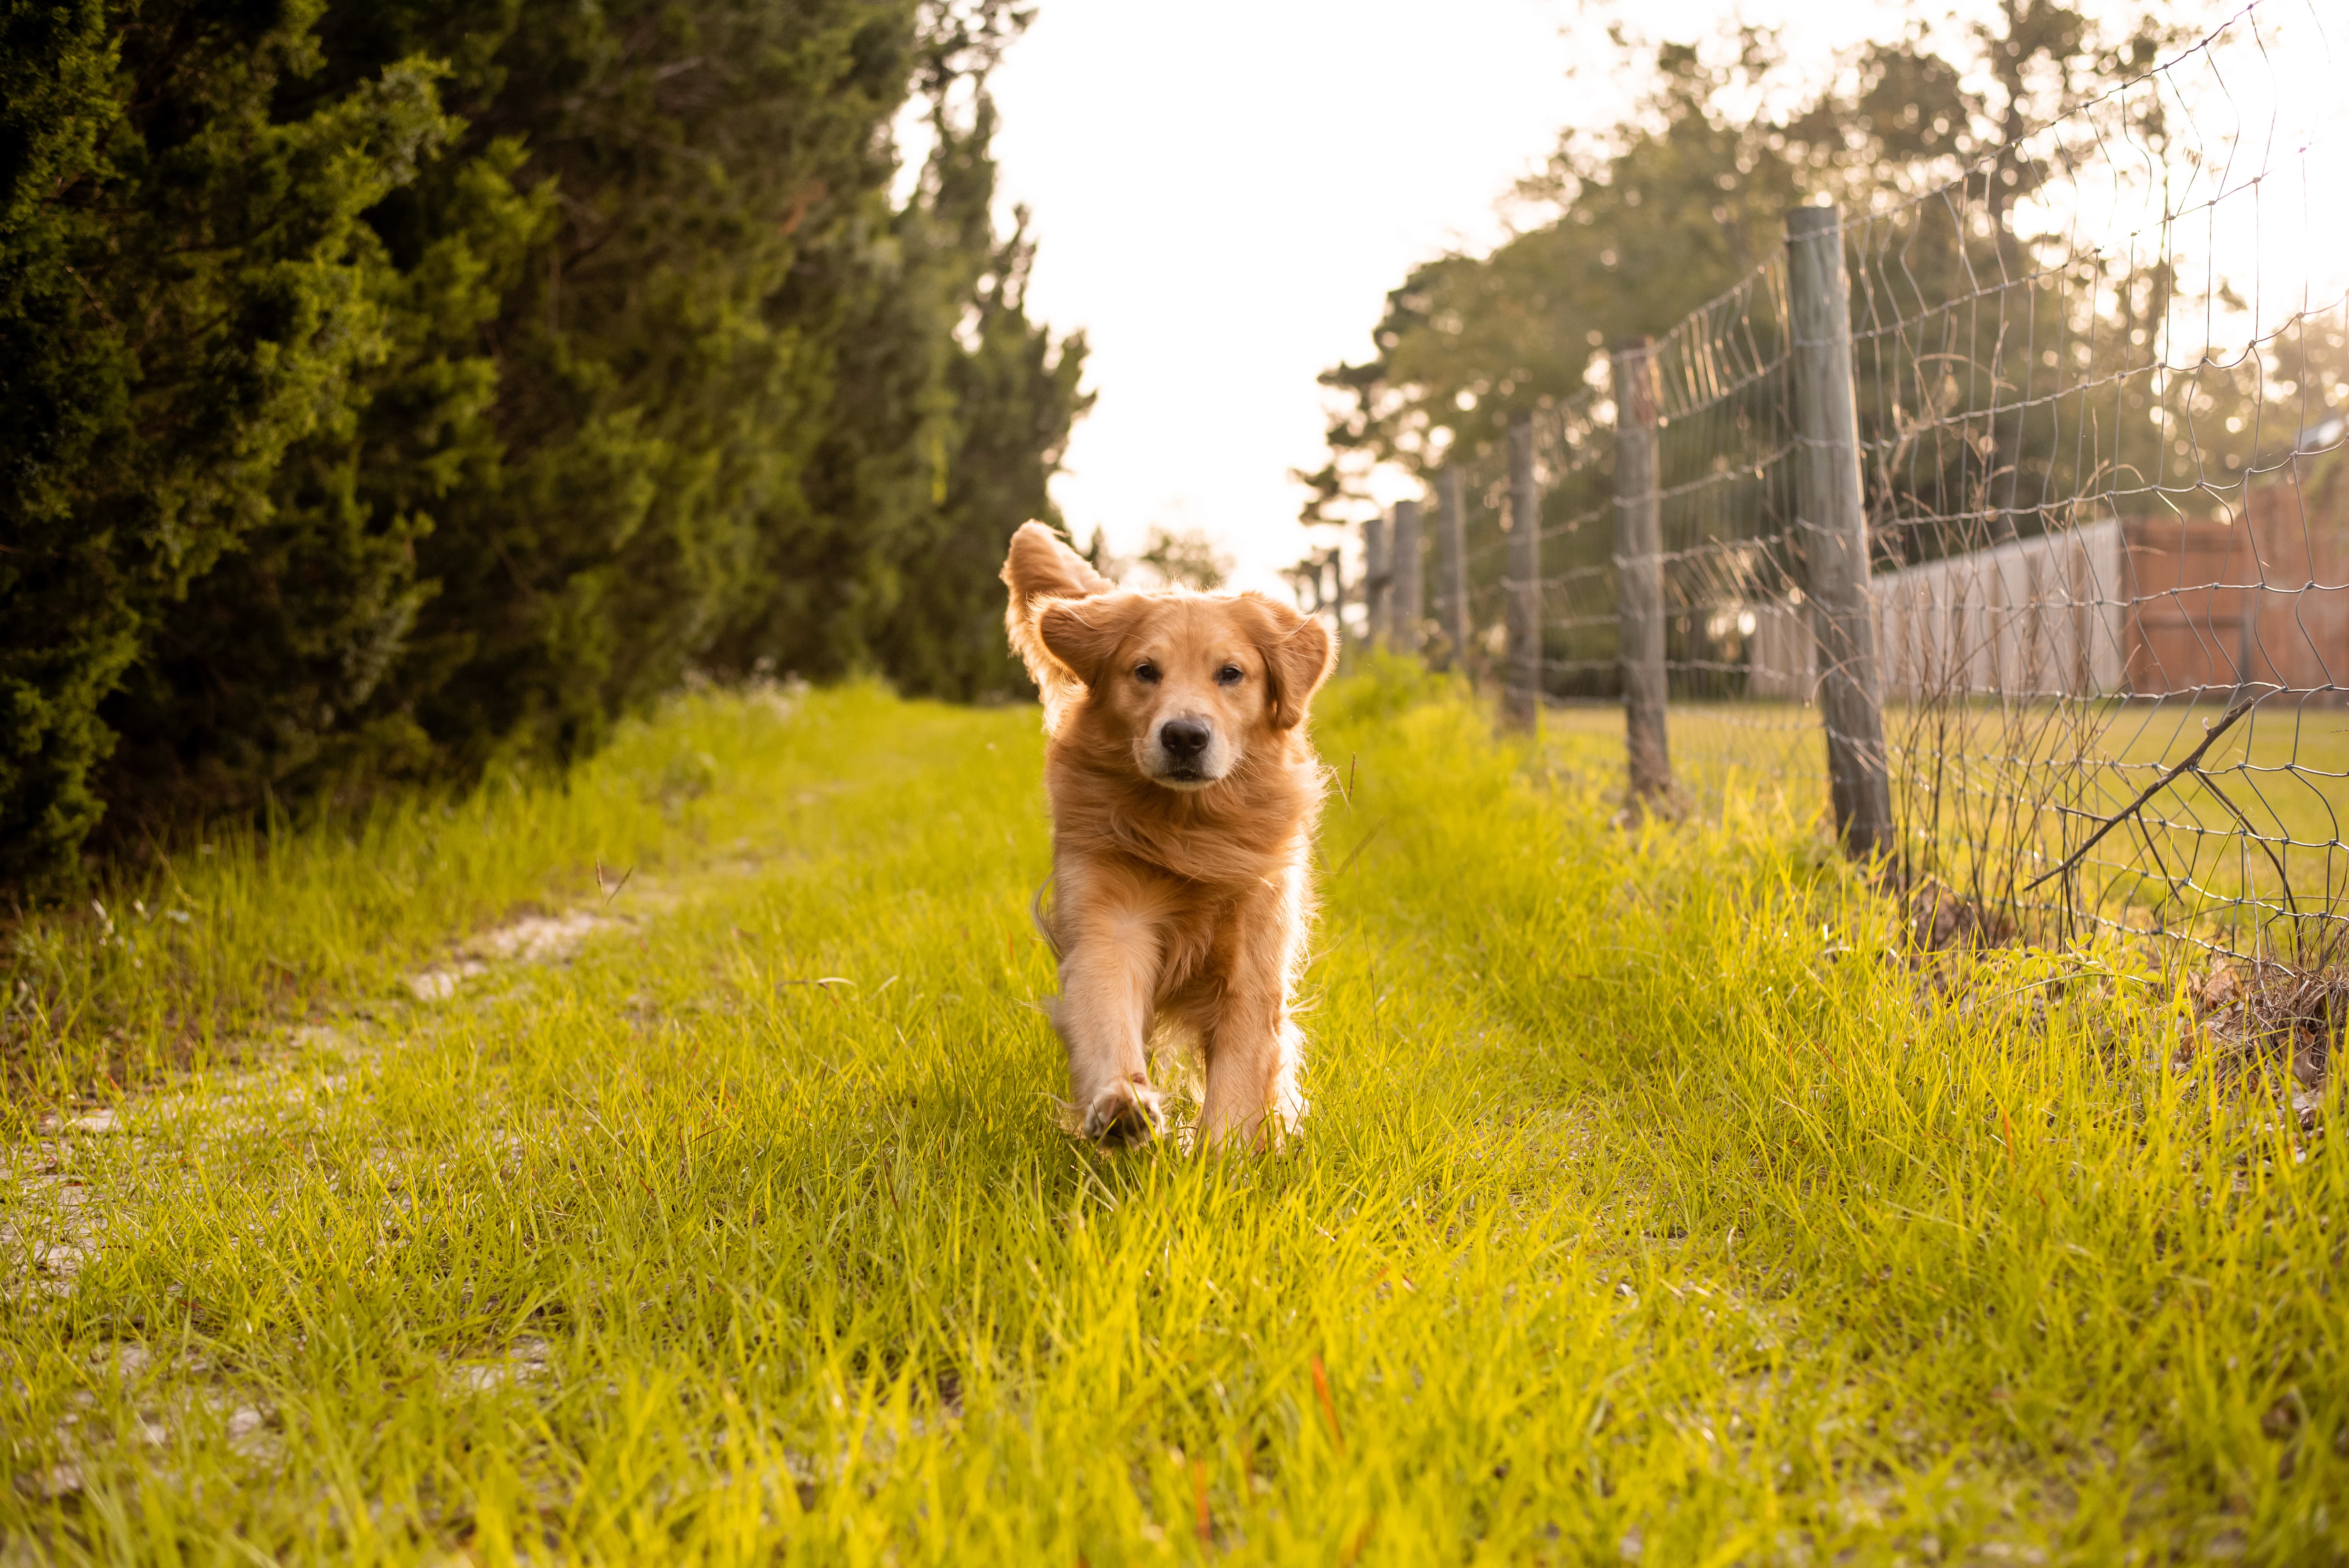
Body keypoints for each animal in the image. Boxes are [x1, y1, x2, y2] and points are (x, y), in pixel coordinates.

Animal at [1000, 521, 1344, 1145]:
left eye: (1231, 673)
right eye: (1145, 671)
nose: (1185, 735)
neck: (1191, 832)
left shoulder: (1254, 959)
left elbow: (1240, 1070)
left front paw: (1220, 1156)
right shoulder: (1110, 920)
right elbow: (1108, 1013)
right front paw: (1121, 1104)